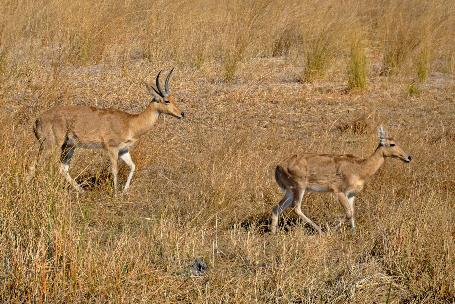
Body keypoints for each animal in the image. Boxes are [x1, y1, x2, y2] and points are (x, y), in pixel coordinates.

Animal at [28, 68, 183, 192]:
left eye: (173, 98)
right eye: (166, 100)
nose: (182, 114)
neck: (130, 123)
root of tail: (37, 120)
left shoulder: (123, 150)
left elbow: (133, 166)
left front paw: (125, 191)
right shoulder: (111, 148)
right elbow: (114, 170)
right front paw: (115, 194)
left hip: (69, 146)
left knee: (62, 167)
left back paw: (81, 191)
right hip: (51, 146)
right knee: (35, 165)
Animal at [270, 127, 414, 234]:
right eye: (392, 144)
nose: (408, 157)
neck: (360, 168)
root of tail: (279, 166)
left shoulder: (352, 195)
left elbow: (353, 213)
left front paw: (354, 234)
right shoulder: (339, 192)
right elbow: (349, 213)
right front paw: (332, 230)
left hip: (290, 190)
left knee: (276, 207)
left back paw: (273, 233)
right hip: (300, 187)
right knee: (296, 208)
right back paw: (320, 230)